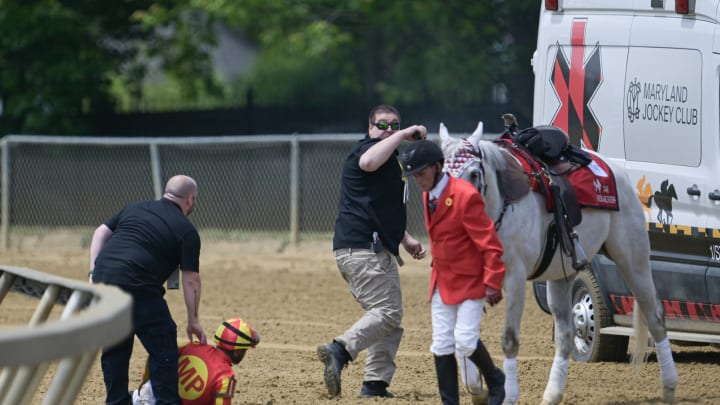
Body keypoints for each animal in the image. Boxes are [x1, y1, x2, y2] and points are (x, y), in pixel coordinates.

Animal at [438, 122, 679, 405]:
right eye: (444, 172)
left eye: (475, 173)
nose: (456, 207)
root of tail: (618, 172)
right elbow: (463, 336)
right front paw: (477, 388)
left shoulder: (515, 279)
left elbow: (509, 339)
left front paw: (508, 394)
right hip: (561, 277)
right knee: (565, 335)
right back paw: (552, 394)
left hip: (634, 261)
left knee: (655, 317)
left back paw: (669, 386)